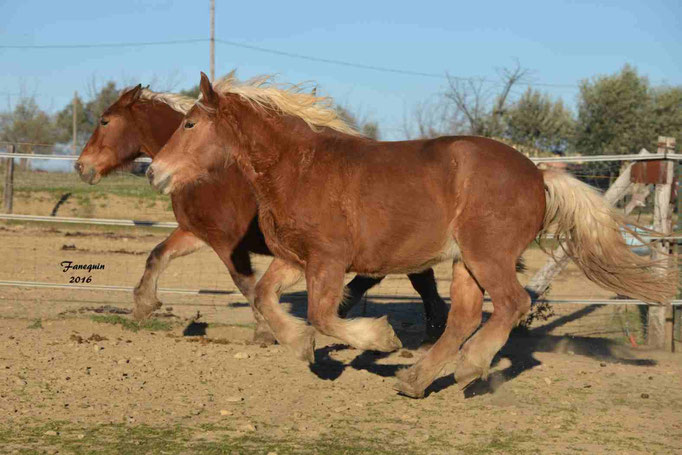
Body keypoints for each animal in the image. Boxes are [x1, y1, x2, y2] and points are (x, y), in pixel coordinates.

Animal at [75, 83, 446, 344]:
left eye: (105, 120)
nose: (81, 167)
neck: (211, 174)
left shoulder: (226, 243)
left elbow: (246, 285)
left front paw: (266, 331)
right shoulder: (196, 232)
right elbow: (157, 255)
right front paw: (143, 304)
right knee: (414, 280)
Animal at [149, 73, 676, 398]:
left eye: (190, 123)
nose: (155, 172)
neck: (299, 169)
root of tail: (538, 175)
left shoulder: (329, 261)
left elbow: (324, 314)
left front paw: (379, 339)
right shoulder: (295, 259)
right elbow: (264, 296)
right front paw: (300, 345)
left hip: (487, 255)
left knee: (512, 304)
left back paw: (468, 366)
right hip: (464, 262)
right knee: (464, 317)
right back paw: (416, 379)